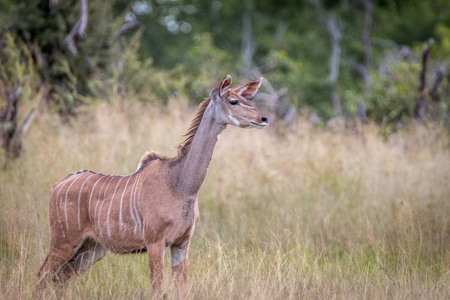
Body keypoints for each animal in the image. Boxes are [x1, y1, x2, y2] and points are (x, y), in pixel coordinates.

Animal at [36, 74, 268, 292]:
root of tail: (56, 186)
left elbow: (181, 288)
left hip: (92, 249)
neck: (180, 185)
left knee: (59, 280)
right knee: (42, 277)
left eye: (246, 98)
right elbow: (158, 289)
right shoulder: (155, 243)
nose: (263, 118)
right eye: (233, 101)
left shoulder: (182, 244)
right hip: (63, 242)